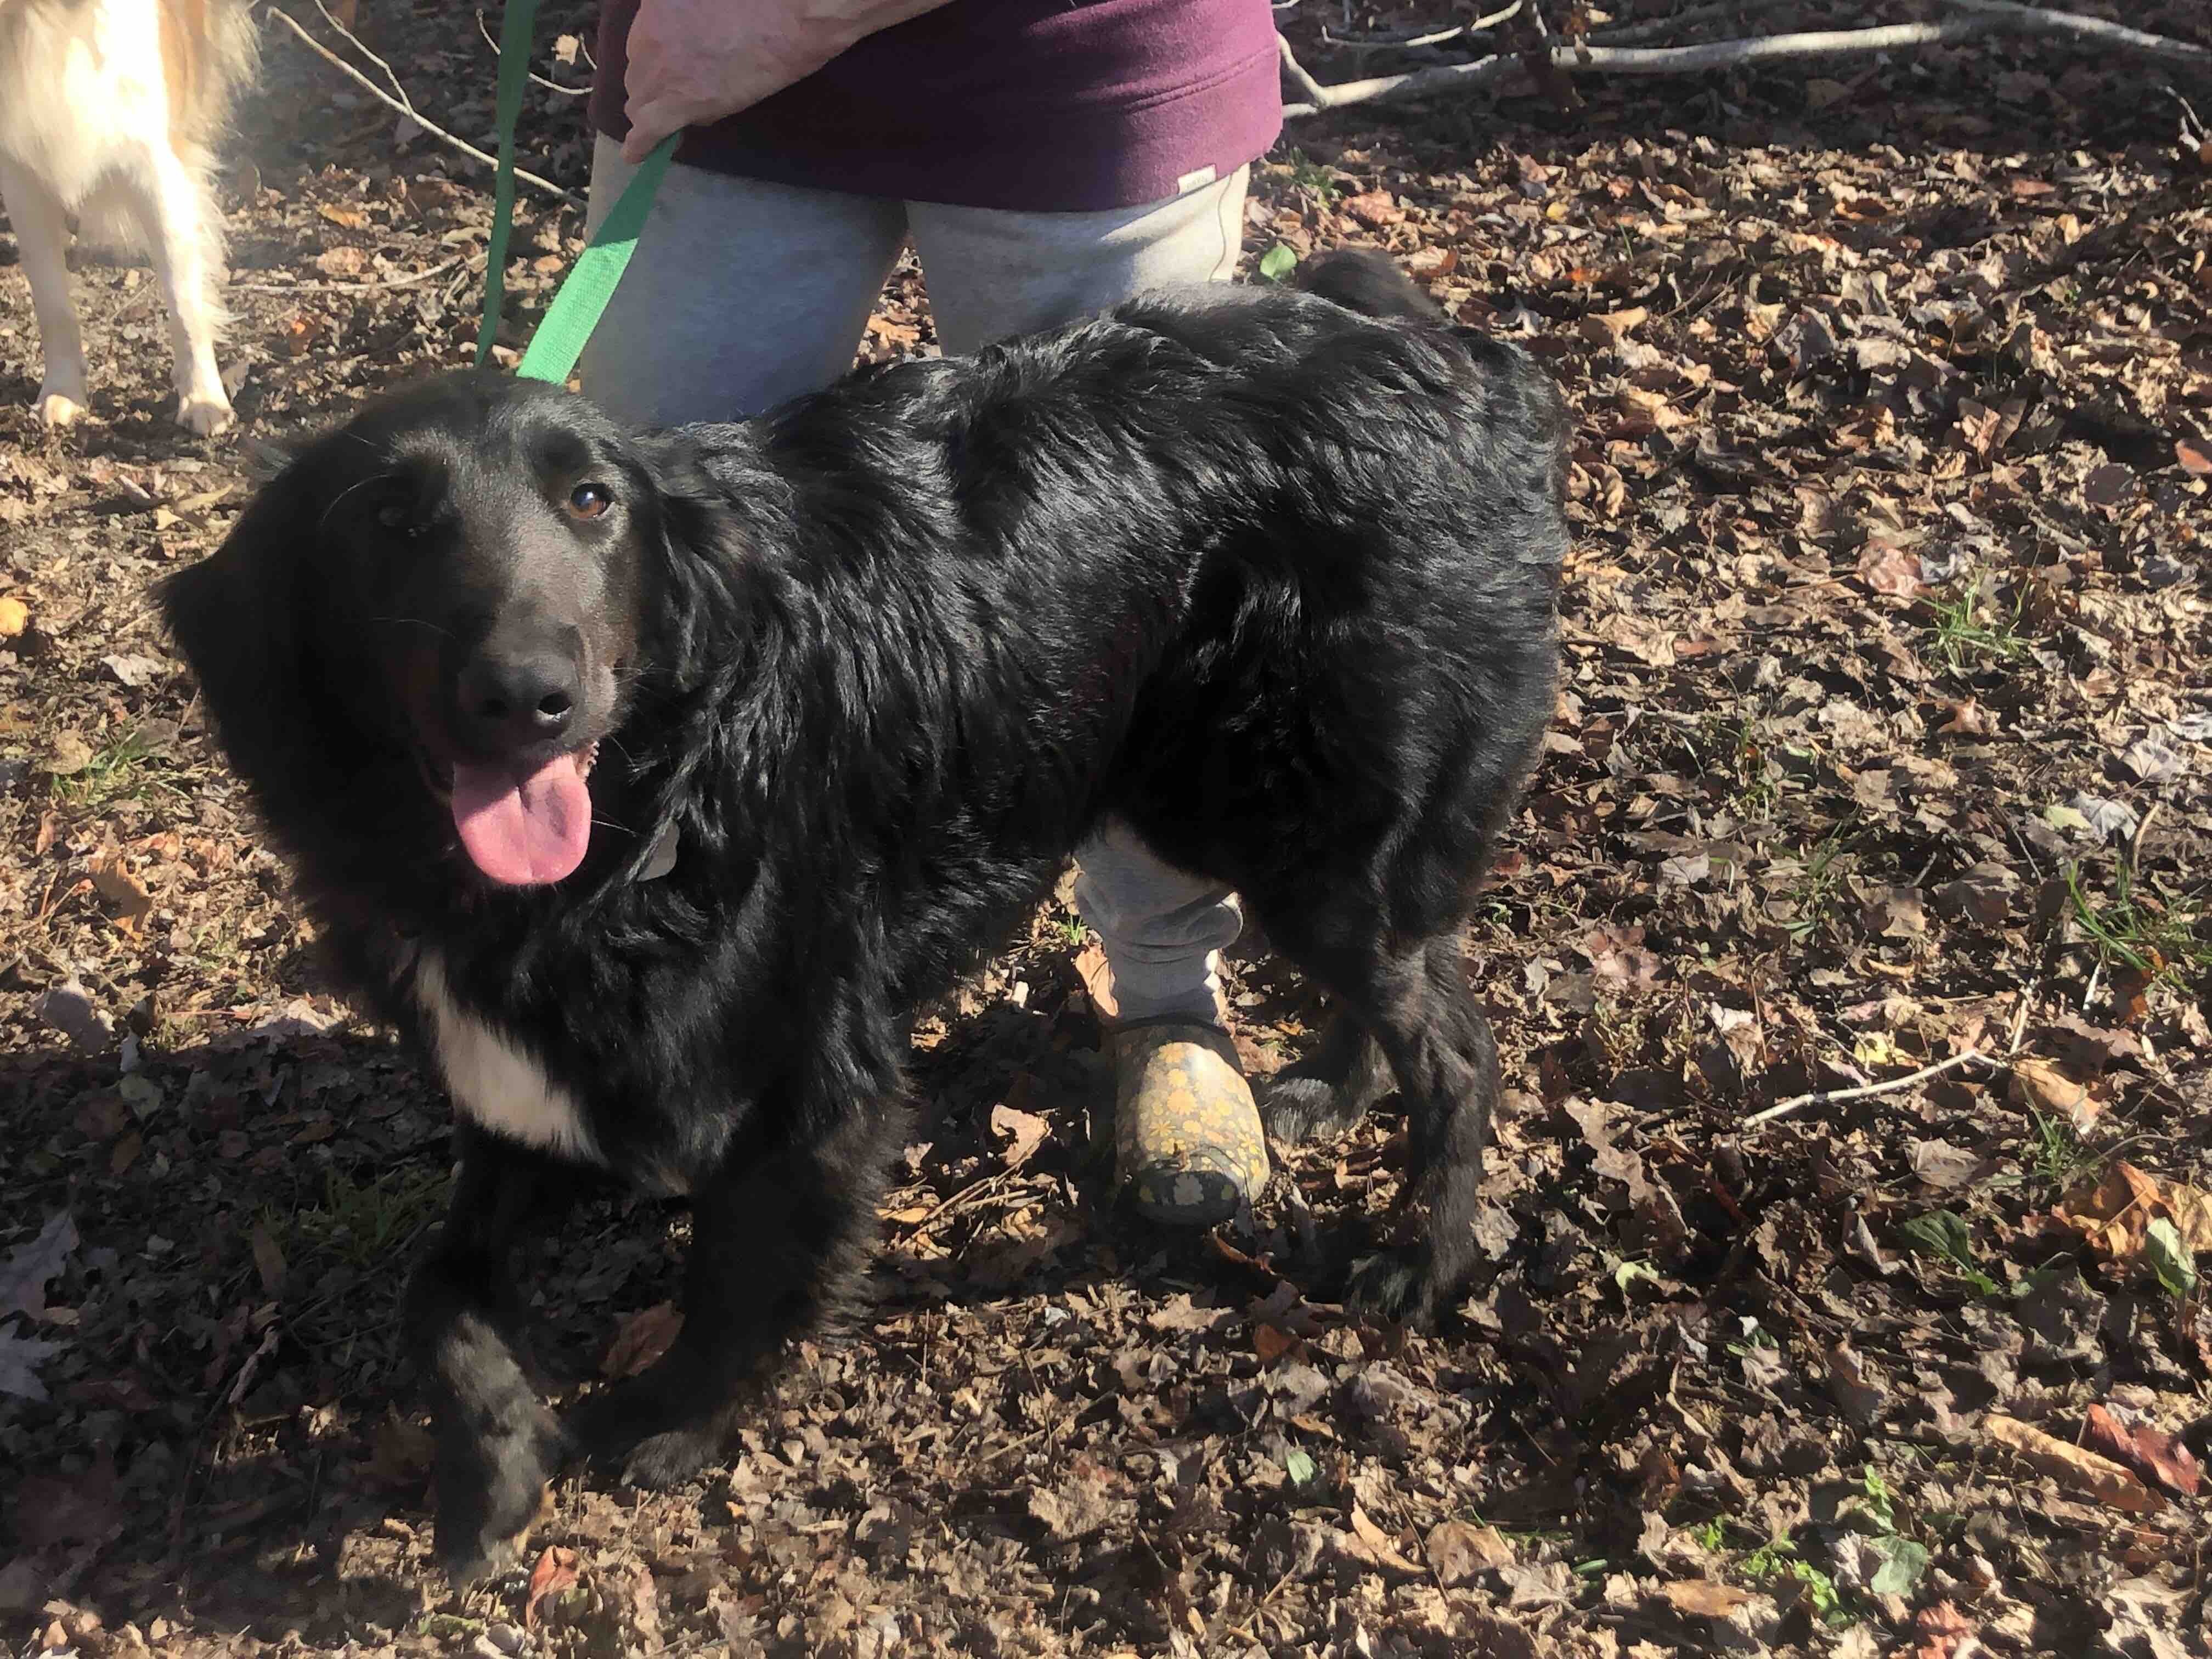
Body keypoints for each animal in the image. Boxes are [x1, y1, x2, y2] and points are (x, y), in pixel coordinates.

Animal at [0, 0, 258, 436]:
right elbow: (52, 302)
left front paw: (204, 398)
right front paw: (64, 391)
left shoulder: (156, 164)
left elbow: (184, 299)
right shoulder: (23, 180)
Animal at [160, 253, 1575, 1575]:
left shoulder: (810, 1087)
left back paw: (1428, 1258)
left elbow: (734, 1280)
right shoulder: (531, 1093)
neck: (644, 818)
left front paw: (674, 1423)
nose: (529, 697)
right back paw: (1336, 1092)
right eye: (390, 518)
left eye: (592, 501)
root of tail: (1459, 357)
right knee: (1415, 983)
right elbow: (438, 1290)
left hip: (1297, 832)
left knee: (1459, 1044)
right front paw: (492, 1469)